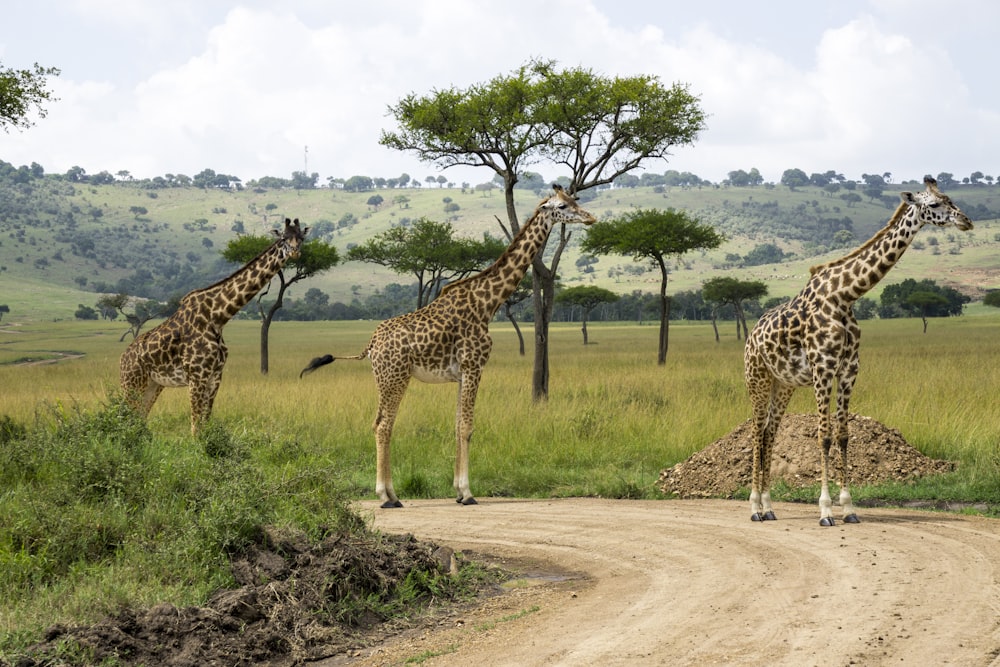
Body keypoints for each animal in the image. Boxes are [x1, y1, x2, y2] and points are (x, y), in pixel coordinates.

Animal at [120, 218, 308, 434]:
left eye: (301, 238)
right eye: (284, 238)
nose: (295, 252)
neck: (218, 317)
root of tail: (122, 359)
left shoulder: (215, 376)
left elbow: (206, 424)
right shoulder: (197, 376)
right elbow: (195, 428)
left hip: (153, 384)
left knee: (138, 419)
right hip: (132, 382)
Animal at [296, 185, 592, 508]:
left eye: (575, 200)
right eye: (563, 206)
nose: (590, 218)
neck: (488, 303)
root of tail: (371, 343)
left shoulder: (461, 374)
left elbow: (457, 425)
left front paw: (458, 492)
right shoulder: (474, 366)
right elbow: (467, 427)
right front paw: (468, 493)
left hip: (383, 379)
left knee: (378, 423)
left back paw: (393, 495)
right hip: (395, 377)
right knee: (384, 425)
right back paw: (386, 496)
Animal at [748, 177, 972, 528]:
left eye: (951, 199)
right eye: (935, 204)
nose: (966, 221)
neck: (846, 296)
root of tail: (751, 336)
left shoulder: (849, 369)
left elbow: (842, 435)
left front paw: (848, 508)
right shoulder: (823, 368)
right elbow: (823, 435)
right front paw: (825, 511)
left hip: (783, 384)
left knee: (770, 431)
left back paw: (770, 507)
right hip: (757, 378)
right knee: (757, 432)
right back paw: (755, 508)